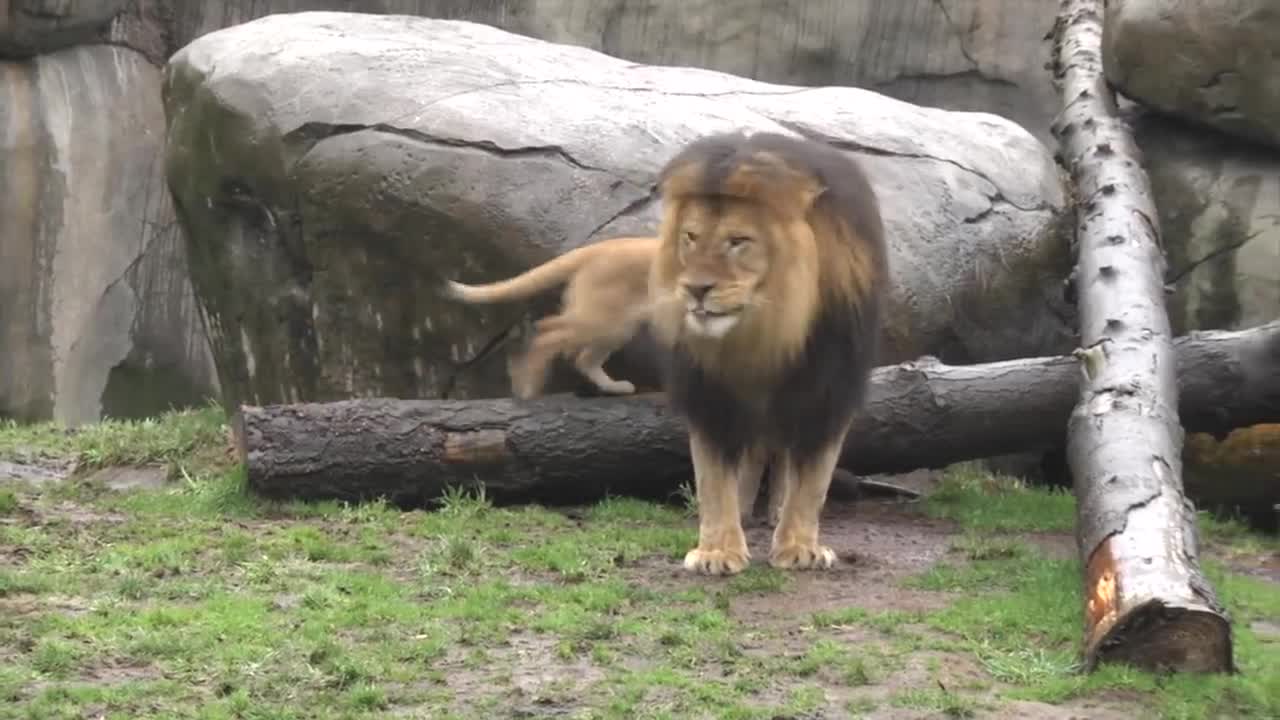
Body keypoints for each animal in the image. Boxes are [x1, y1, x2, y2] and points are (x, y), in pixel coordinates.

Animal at [650, 131, 890, 573]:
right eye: (690, 237)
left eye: (738, 242)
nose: (695, 289)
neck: (763, 333)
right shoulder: (709, 395)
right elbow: (713, 477)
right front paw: (718, 551)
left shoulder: (828, 389)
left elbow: (812, 478)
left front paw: (799, 547)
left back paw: (776, 510)